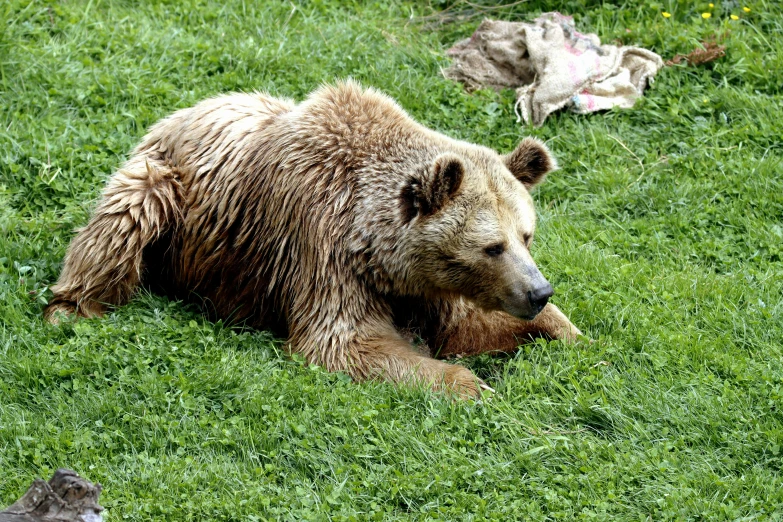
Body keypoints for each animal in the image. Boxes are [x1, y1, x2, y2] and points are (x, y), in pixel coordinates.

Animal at [44, 80, 580, 394]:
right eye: (492, 246)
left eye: (527, 236)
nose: (538, 290)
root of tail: (182, 110)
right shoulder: (323, 250)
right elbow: (345, 342)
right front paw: (471, 386)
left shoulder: (428, 287)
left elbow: (467, 327)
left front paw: (570, 332)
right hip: (162, 187)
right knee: (122, 221)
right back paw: (73, 307)